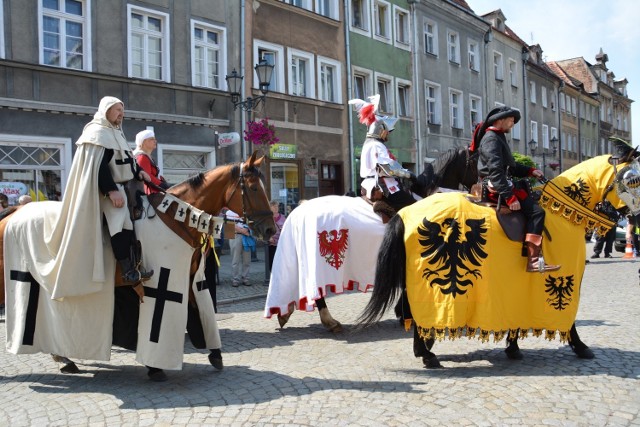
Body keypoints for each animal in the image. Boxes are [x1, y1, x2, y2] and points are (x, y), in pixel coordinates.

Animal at [0, 153, 276, 382]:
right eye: (253, 188)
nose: (270, 230)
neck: (174, 218)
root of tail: (15, 211)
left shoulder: (190, 279)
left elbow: (199, 311)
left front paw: (215, 354)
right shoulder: (166, 281)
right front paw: (155, 367)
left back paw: (64, 358)